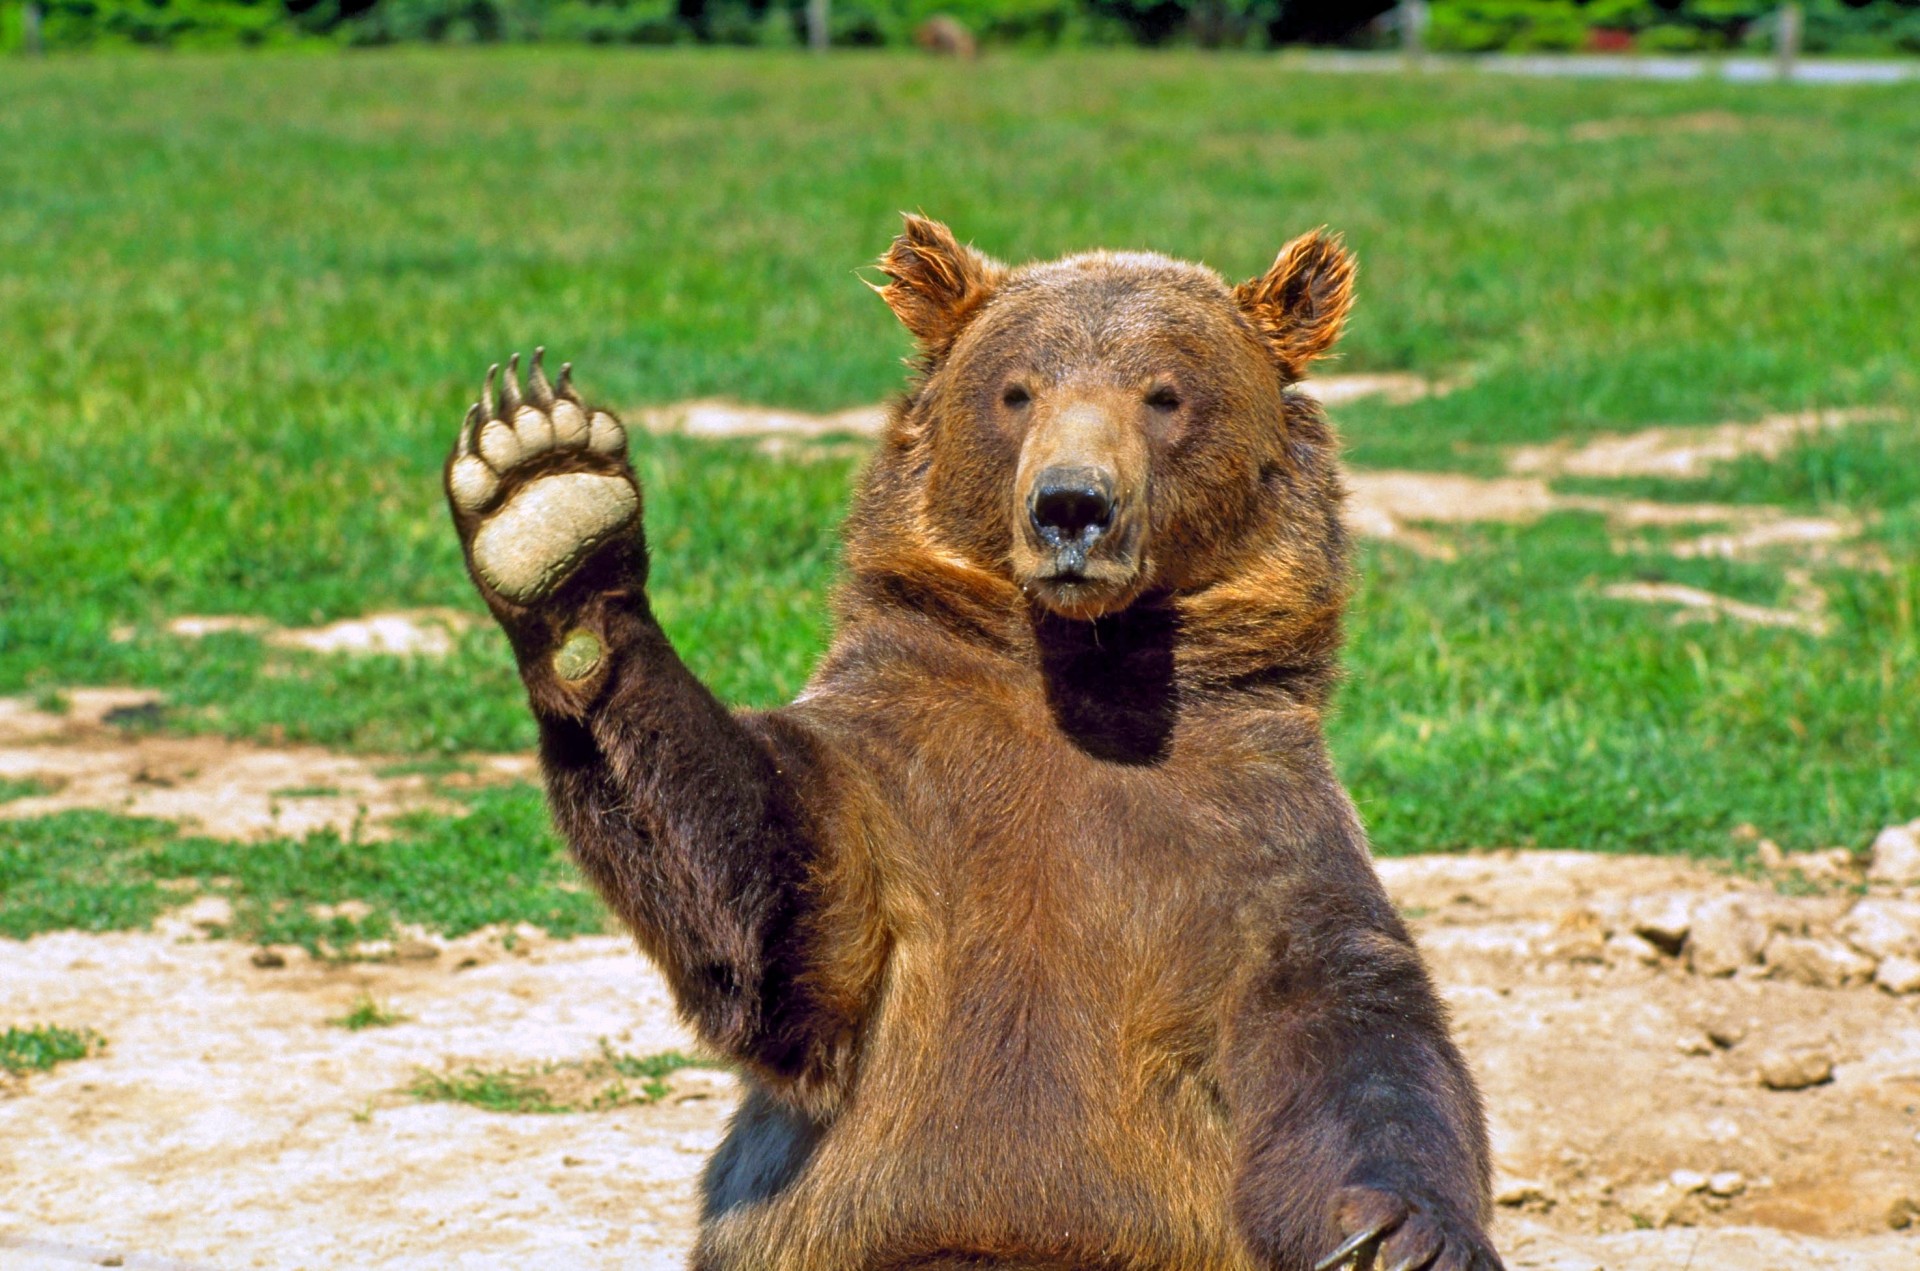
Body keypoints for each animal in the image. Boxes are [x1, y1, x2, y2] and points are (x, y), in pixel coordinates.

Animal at [445, 218, 1497, 1271]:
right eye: (1017, 389)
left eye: (1164, 393)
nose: (1071, 504)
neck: (1083, 679)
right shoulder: (900, 782)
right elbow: (771, 905)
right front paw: (550, 508)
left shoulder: (1251, 826)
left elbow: (1351, 1023)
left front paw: (1401, 1235)